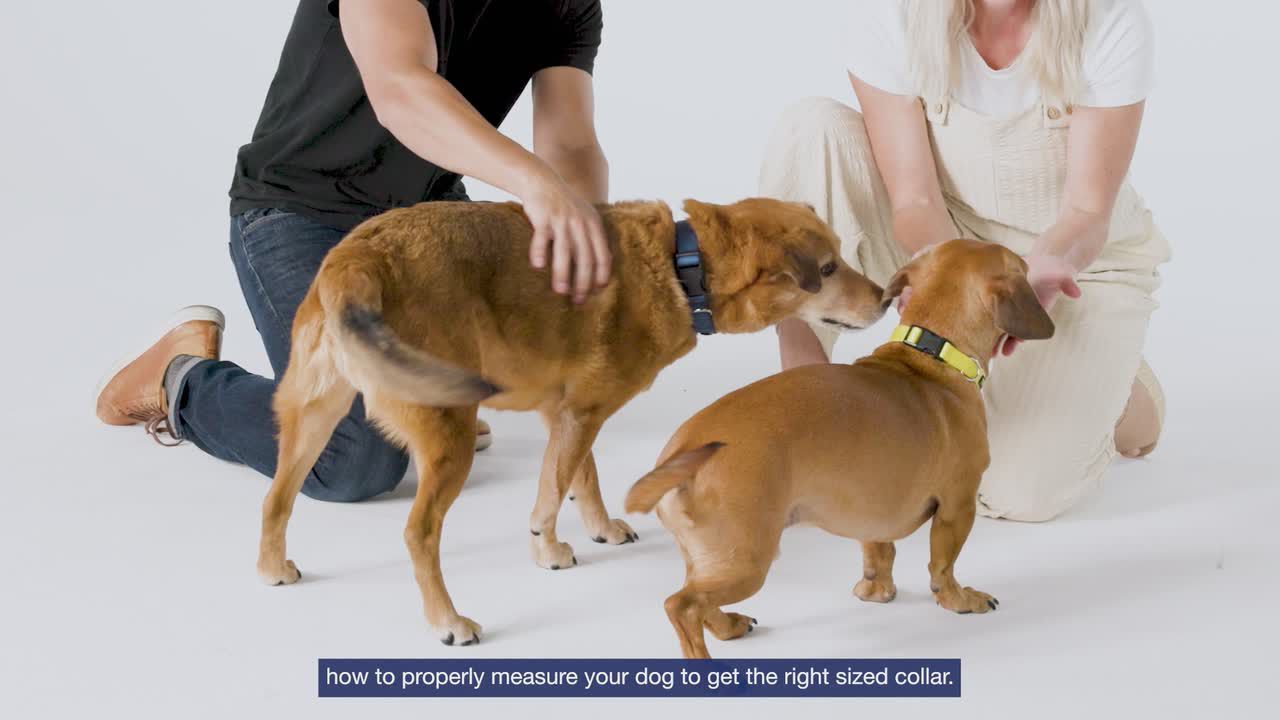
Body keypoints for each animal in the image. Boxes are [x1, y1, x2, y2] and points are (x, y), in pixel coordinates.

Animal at [255, 198, 885, 646]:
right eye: (828, 268)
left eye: (840, 256)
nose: (884, 297)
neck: (681, 268)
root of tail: (358, 259)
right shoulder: (582, 412)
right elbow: (552, 490)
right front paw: (549, 550)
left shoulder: (570, 412)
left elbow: (581, 474)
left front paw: (600, 527)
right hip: (447, 434)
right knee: (418, 533)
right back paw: (448, 621)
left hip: (313, 417)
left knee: (278, 497)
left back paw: (271, 567)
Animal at [624, 239, 1056, 658]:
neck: (931, 355)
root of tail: (682, 450)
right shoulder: (957, 507)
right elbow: (942, 566)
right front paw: (959, 599)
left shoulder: (874, 512)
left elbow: (879, 553)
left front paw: (876, 591)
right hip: (746, 560)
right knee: (682, 606)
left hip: (711, 557)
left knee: (700, 603)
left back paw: (728, 625)